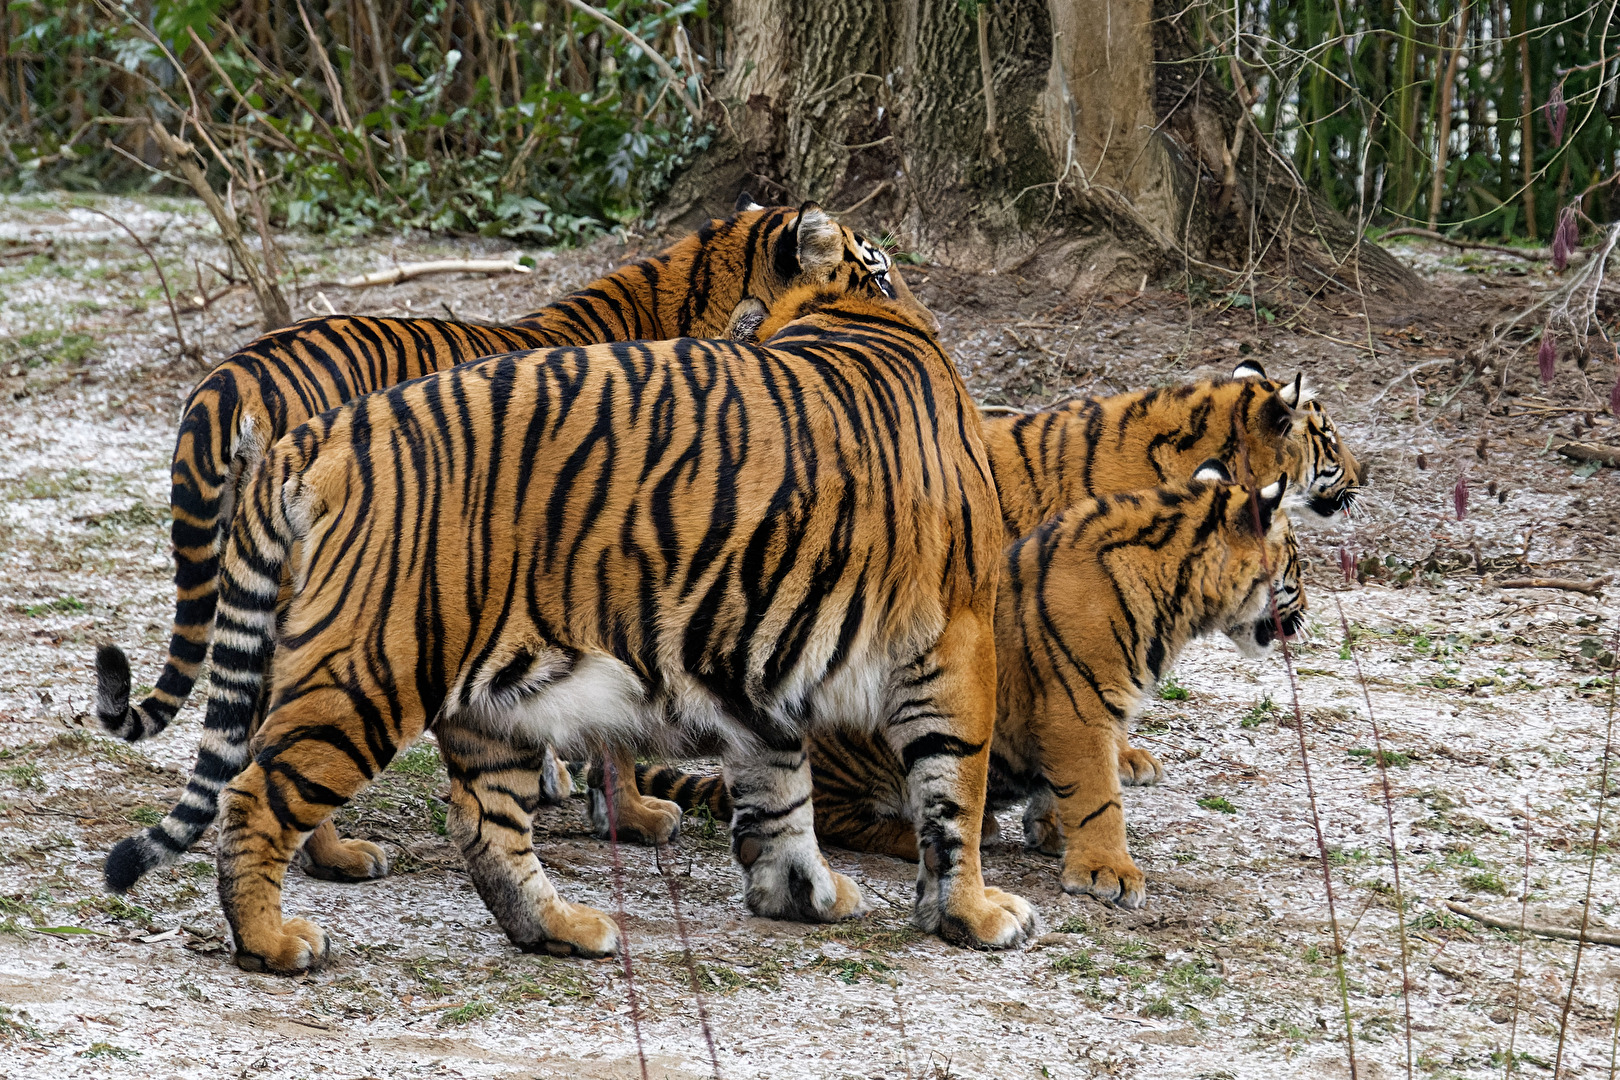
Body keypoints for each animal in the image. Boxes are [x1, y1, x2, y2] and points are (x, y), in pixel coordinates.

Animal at [105, 274, 1040, 974]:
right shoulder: (956, 637)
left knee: (483, 826)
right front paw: (974, 913)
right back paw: (273, 942)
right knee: (254, 796)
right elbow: (954, 787)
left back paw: (557, 929)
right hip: (371, 670)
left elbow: (780, 789)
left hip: (488, 695)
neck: (864, 316)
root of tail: (312, 437)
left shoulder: (756, 659)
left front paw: (799, 894)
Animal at [637, 462, 1305, 912]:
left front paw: (1054, 834)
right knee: (832, 817)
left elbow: (1069, 788)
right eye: (1297, 564)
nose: (1304, 618)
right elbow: (1100, 794)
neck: (1181, 597)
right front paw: (1108, 872)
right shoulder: (1078, 709)